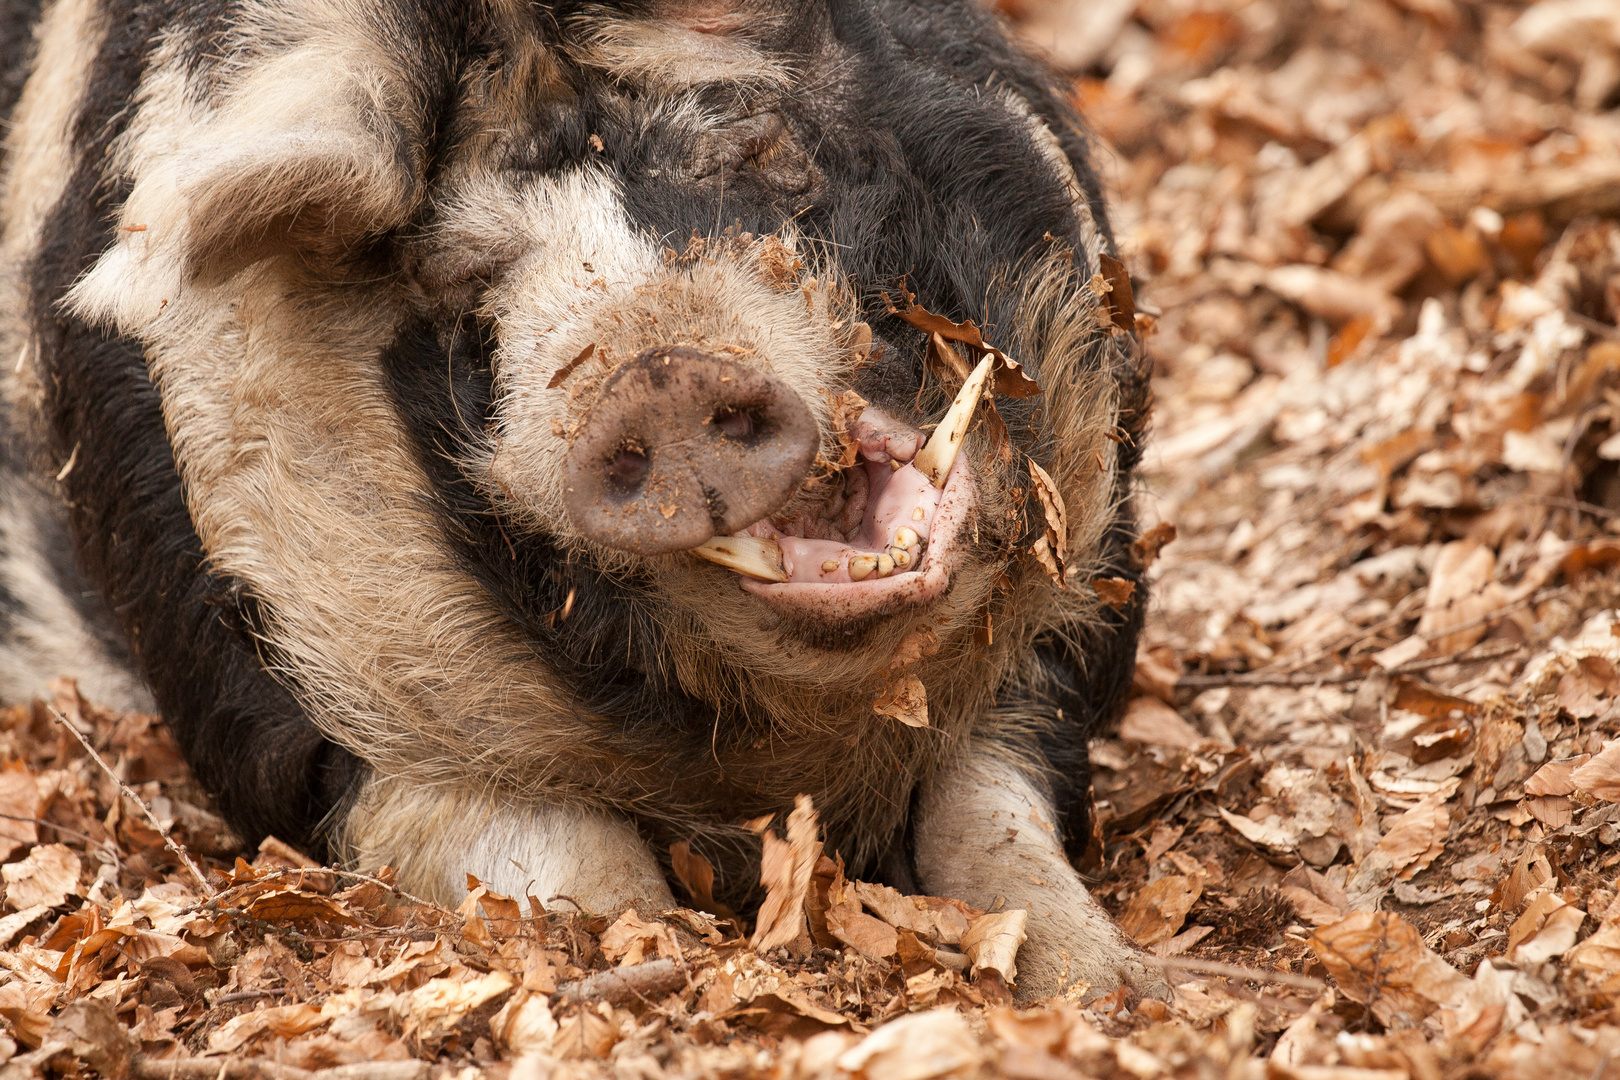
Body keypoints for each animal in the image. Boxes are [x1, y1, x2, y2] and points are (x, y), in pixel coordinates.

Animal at [0, 0, 1166, 1003]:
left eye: (754, 148)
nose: (660, 376)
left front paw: (1108, 988)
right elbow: (555, 850)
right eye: (462, 288)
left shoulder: (1085, 604)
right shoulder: (287, 719)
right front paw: (652, 966)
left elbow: (994, 810)